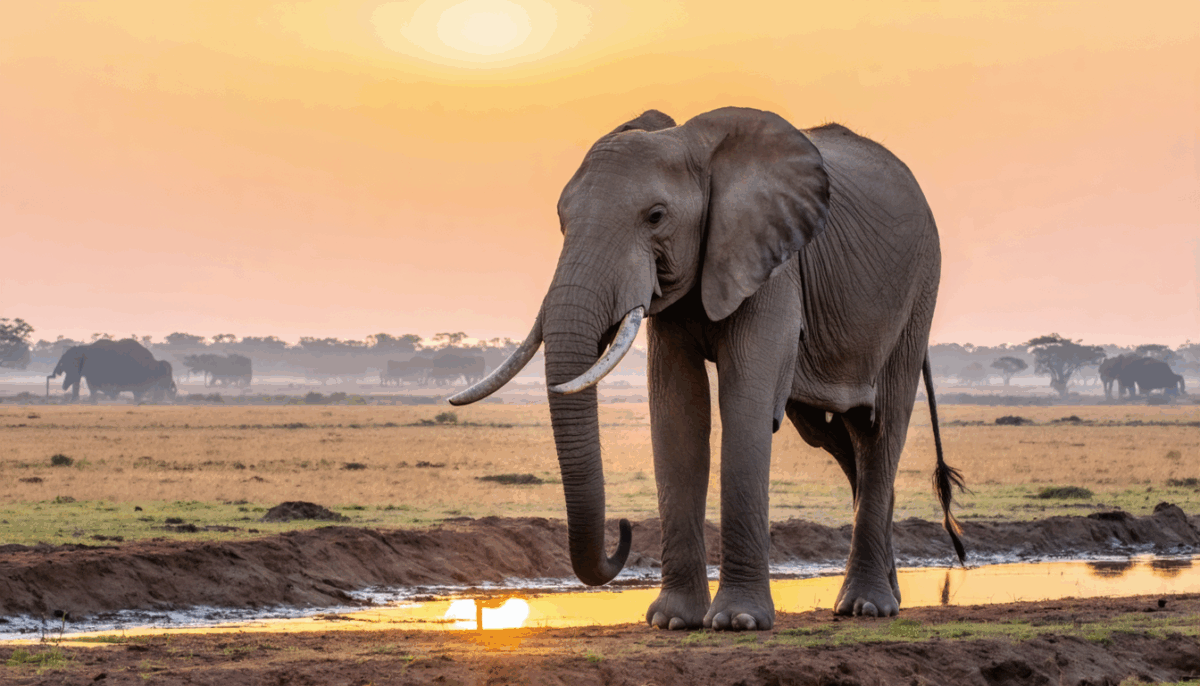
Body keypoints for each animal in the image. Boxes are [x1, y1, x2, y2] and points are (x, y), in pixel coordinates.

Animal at [448, 107, 964, 629]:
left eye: (656, 217)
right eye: (560, 220)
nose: (623, 529)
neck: (694, 146)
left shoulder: (773, 264)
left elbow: (744, 400)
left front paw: (739, 621)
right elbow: (678, 410)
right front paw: (673, 621)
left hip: (919, 288)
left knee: (881, 427)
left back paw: (867, 607)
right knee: (839, 438)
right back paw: (886, 599)